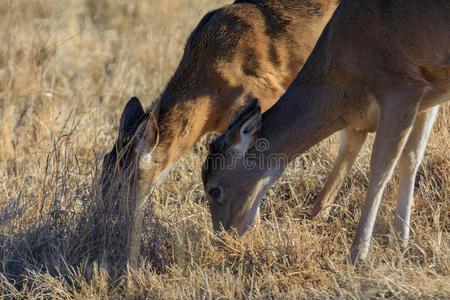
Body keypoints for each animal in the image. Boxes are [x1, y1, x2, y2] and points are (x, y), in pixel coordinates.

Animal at [204, 1, 450, 264]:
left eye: (214, 190)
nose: (223, 237)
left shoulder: (400, 86)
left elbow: (380, 170)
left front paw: (357, 254)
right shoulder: (427, 94)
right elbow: (411, 159)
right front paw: (401, 242)